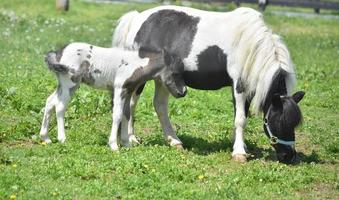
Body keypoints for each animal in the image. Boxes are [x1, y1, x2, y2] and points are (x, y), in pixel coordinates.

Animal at [40, 43, 187, 151]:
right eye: (175, 73)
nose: (183, 92)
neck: (136, 64)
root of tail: (58, 53)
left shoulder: (128, 92)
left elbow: (126, 115)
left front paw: (127, 144)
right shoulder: (119, 89)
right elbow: (117, 115)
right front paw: (114, 145)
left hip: (64, 85)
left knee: (50, 102)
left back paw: (45, 137)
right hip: (70, 84)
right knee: (60, 106)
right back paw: (62, 138)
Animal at [113, 5, 306, 164]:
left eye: (294, 123)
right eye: (279, 121)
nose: (289, 156)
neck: (249, 43)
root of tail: (136, 19)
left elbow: (240, 115)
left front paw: (241, 146)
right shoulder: (239, 85)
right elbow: (240, 119)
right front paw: (239, 153)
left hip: (164, 80)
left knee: (159, 106)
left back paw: (174, 141)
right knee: (132, 103)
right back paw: (132, 138)